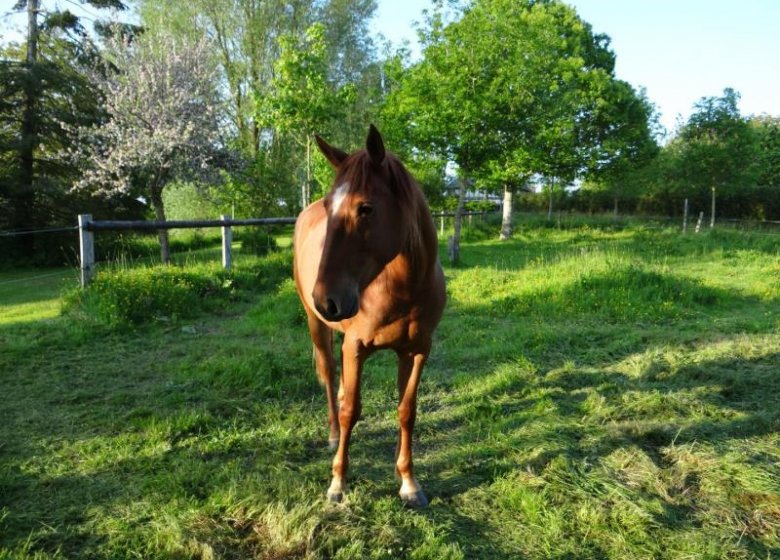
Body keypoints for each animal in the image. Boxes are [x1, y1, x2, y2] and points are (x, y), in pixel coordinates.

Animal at [294, 127, 444, 508]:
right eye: (330, 206)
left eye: (365, 208)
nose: (327, 300)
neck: (402, 289)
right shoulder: (356, 346)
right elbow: (351, 410)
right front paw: (338, 482)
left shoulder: (417, 351)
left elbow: (407, 410)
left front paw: (408, 481)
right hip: (318, 327)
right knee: (329, 376)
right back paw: (333, 435)